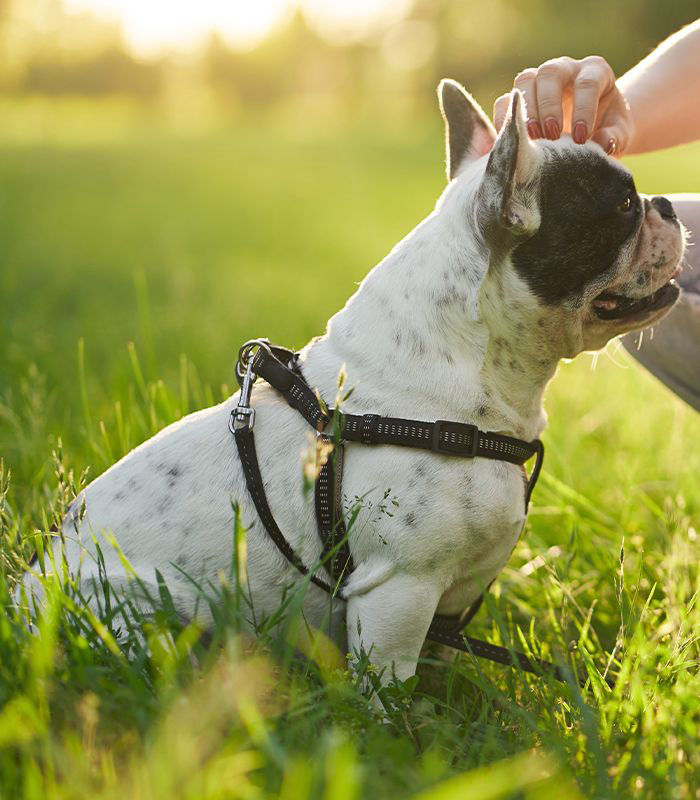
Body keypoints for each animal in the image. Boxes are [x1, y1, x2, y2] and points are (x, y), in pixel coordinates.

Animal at [21, 78, 684, 684]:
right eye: (624, 207)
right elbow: (391, 690)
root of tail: (23, 599)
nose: (667, 204)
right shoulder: (399, 591)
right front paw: (402, 731)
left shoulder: (448, 603)